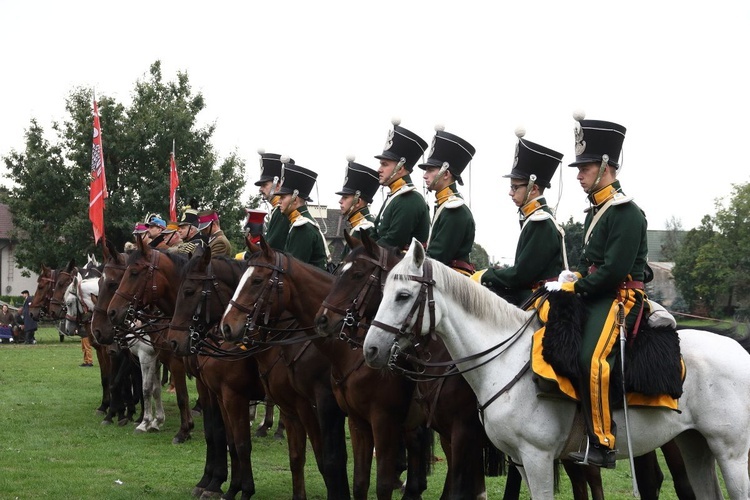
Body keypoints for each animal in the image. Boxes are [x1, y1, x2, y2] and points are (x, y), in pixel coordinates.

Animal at [66, 274, 164, 434]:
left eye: (68, 303)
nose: (68, 329)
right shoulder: (111, 355)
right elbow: (110, 380)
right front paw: (116, 410)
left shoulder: (128, 357)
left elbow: (120, 382)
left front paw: (120, 413)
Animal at [220, 239, 432, 500]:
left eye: (257, 280)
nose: (226, 326)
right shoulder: (296, 407)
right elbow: (303, 458)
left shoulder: (325, 406)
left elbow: (331, 461)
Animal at [366, 240, 750, 498]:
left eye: (403, 295)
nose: (371, 349)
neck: (504, 360)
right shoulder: (520, 461)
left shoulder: (536, 457)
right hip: (694, 444)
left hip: (730, 453)